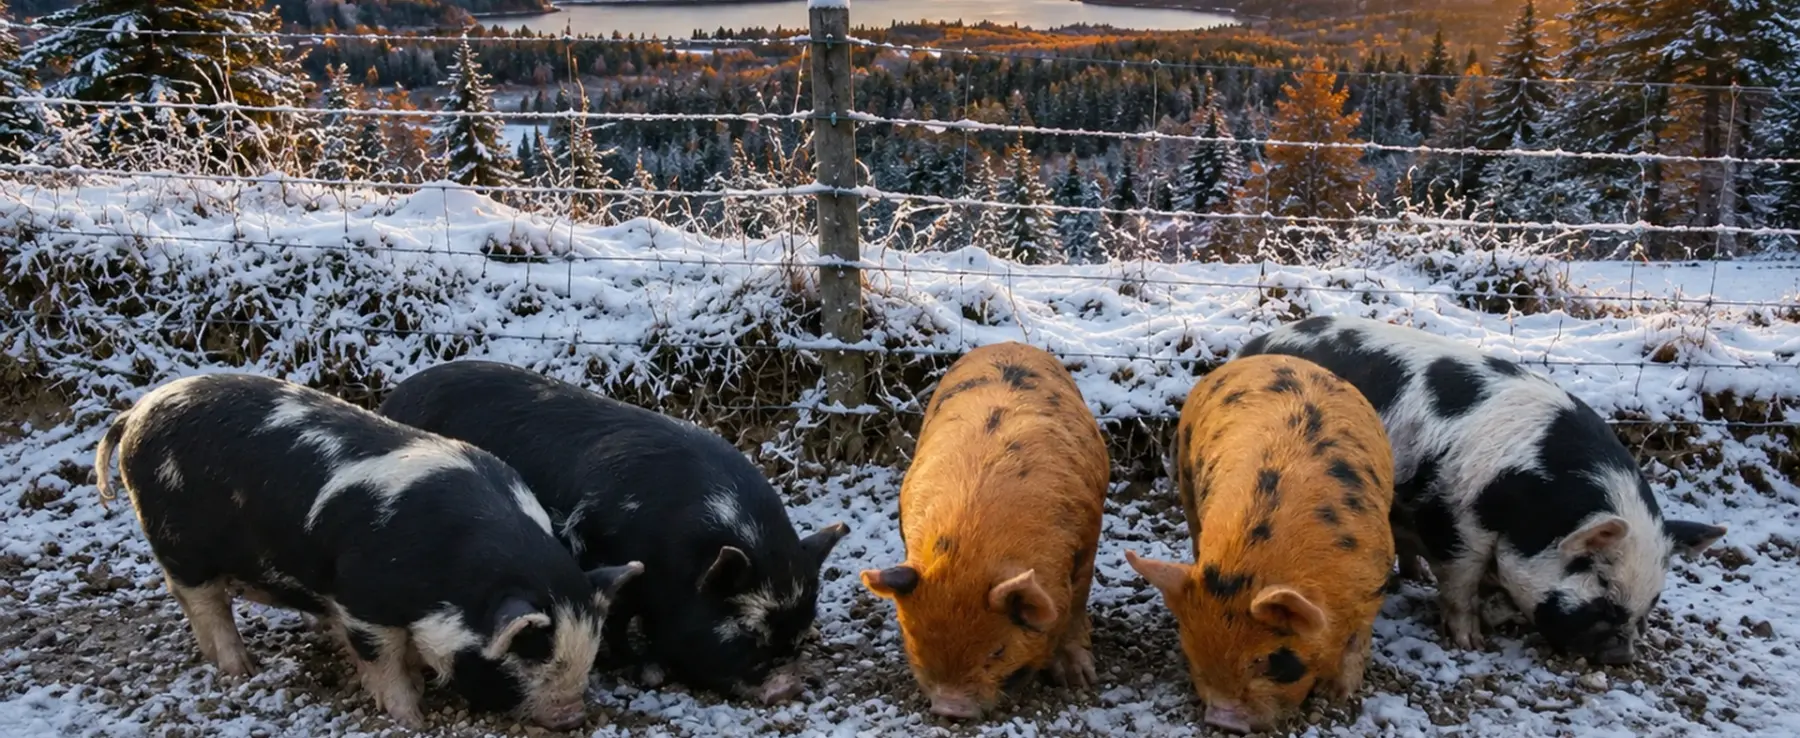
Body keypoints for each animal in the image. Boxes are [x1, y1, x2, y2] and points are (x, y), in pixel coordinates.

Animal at [91, 373, 642, 730]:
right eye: (527, 656)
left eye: (587, 656)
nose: (572, 718)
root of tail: (136, 411)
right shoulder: (361, 597)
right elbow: (381, 658)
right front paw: (411, 715)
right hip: (176, 541)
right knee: (204, 603)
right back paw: (242, 669)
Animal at [376, 360, 848, 704]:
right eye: (748, 634)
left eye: (795, 640)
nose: (787, 686)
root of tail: (393, 398)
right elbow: (617, 619)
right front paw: (646, 670)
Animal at [859, 341, 1110, 719]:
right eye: (917, 642)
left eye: (998, 651)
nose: (951, 709)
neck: (973, 548)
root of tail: (1008, 343)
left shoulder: (1086, 544)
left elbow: (1076, 607)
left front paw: (1079, 681)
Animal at [1126, 353, 1396, 734]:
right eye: (1192, 654)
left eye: (1263, 660)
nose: (1224, 721)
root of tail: (1261, 357)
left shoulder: (1377, 575)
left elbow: (1358, 639)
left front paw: (1337, 696)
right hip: (1185, 479)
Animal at [1235, 315, 1728, 664]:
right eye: (1600, 579)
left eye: (1655, 598)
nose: (1622, 658)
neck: (1527, 502)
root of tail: (1257, 343)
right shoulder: (1452, 518)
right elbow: (1461, 581)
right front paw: (1471, 642)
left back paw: (1413, 575)